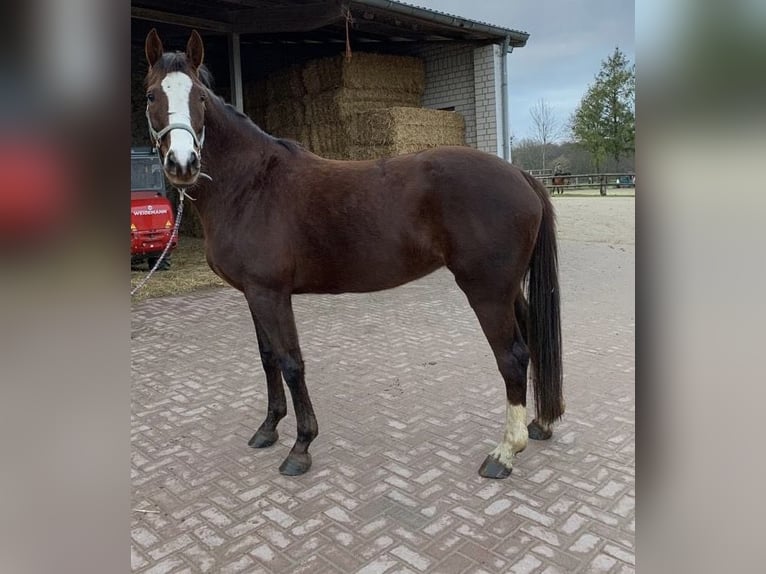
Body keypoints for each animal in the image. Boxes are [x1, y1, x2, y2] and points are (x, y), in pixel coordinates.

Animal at [143, 29, 563, 479]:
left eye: (200, 97)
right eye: (151, 95)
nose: (182, 163)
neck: (251, 184)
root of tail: (519, 175)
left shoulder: (271, 294)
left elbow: (291, 362)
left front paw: (301, 446)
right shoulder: (252, 294)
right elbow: (268, 357)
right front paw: (268, 429)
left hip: (487, 292)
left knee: (513, 357)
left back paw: (504, 452)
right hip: (508, 290)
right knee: (533, 340)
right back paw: (539, 424)